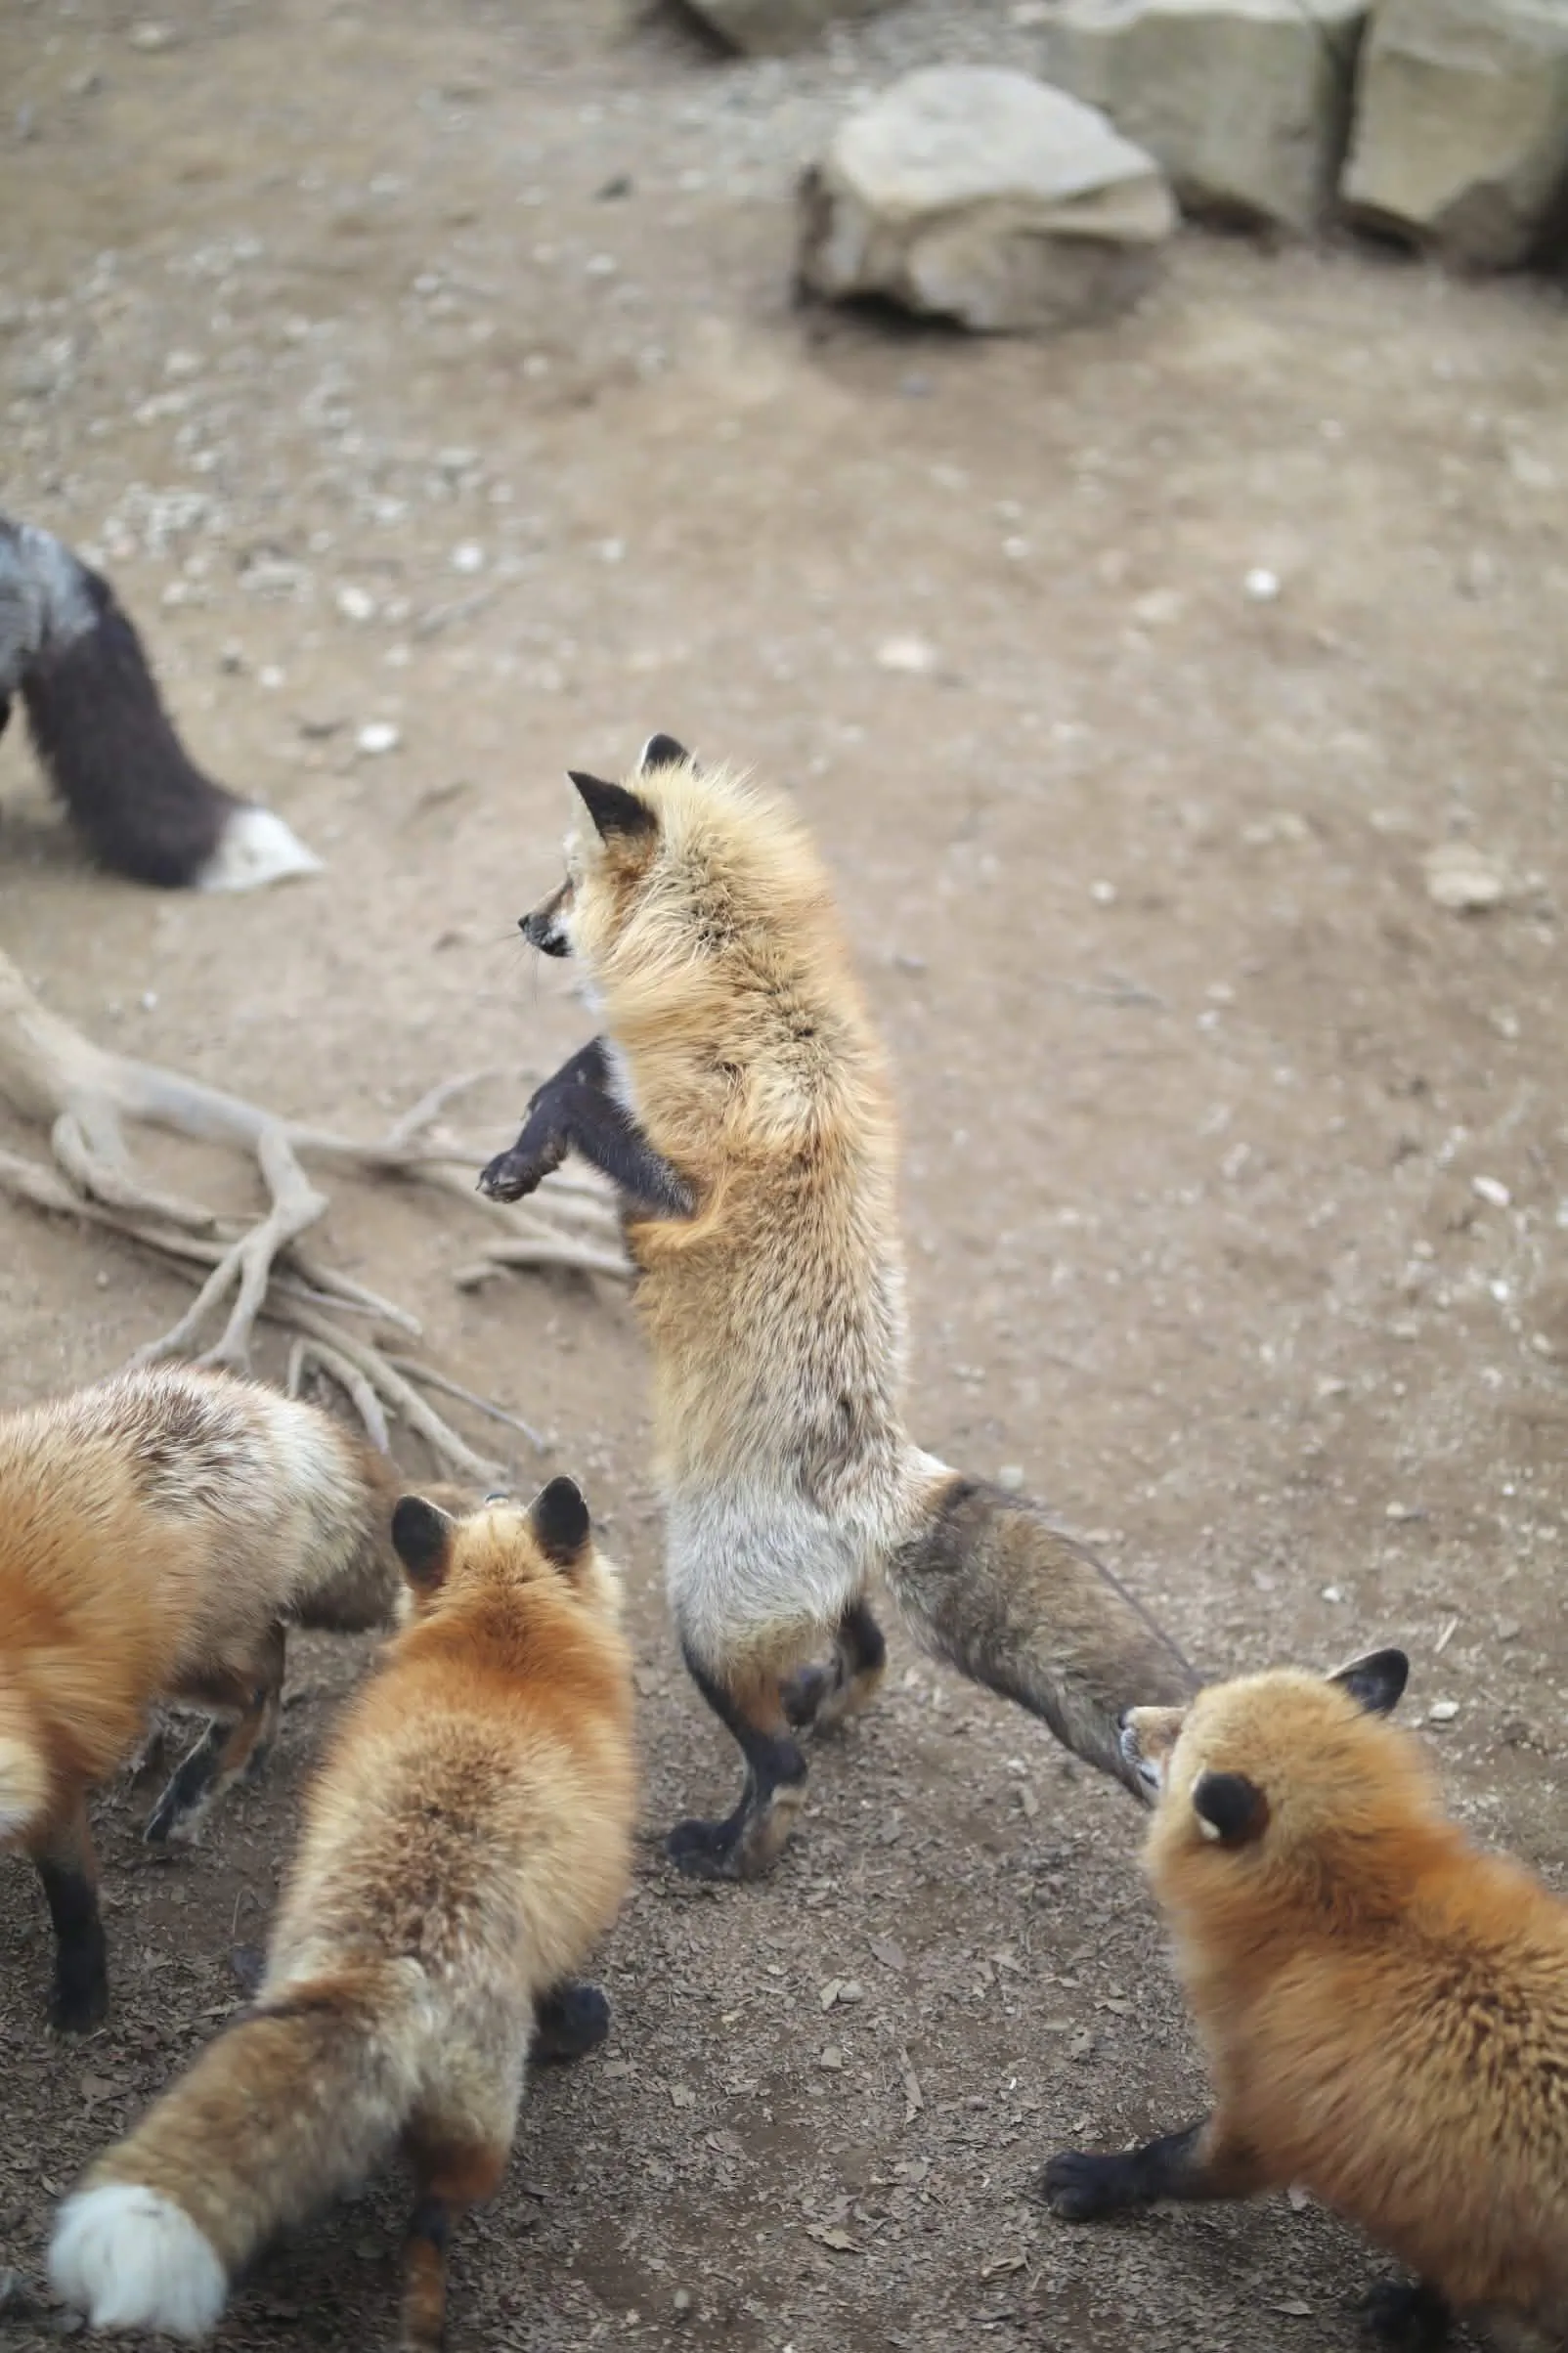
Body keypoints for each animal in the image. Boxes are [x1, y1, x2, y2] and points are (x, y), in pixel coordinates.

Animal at [0, 1361, 459, 2031]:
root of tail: (269, 1411)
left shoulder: (43, 1769)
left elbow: (74, 1899)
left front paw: (84, 2000)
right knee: (274, 1648)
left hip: (185, 1656)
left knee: (258, 1684)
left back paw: (194, 1792)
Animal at [48, 1477, 637, 2351]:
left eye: (496, 1500)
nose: (498, 1482)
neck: (501, 1638)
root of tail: (388, 1957)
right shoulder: (568, 1915)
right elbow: (562, 1986)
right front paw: (575, 2021)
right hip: (482, 2134)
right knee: (428, 2227)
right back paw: (426, 2319)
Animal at [478, 734, 1194, 1883]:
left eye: (566, 880)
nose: (519, 921)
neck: (748, 987)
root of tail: (877, 1475)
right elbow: (587, 1062)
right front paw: (519, 1158)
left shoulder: (685, 1189)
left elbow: (580, 1088)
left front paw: (529, 1145)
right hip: (804, 1604)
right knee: (867, 1649)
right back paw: (828, 1704)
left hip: (701, 1619)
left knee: (781, 1767)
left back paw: (730, 1848)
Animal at [1042, 1648, 1568, 2352]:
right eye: (1192, 1704)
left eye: (1181, 1734)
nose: (1127, 1716)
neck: (1357, 1920)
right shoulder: (1460, 2215)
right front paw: (1418, 2312)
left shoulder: (1264, 2114)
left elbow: (1170, 2160)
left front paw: (1101, 2180)